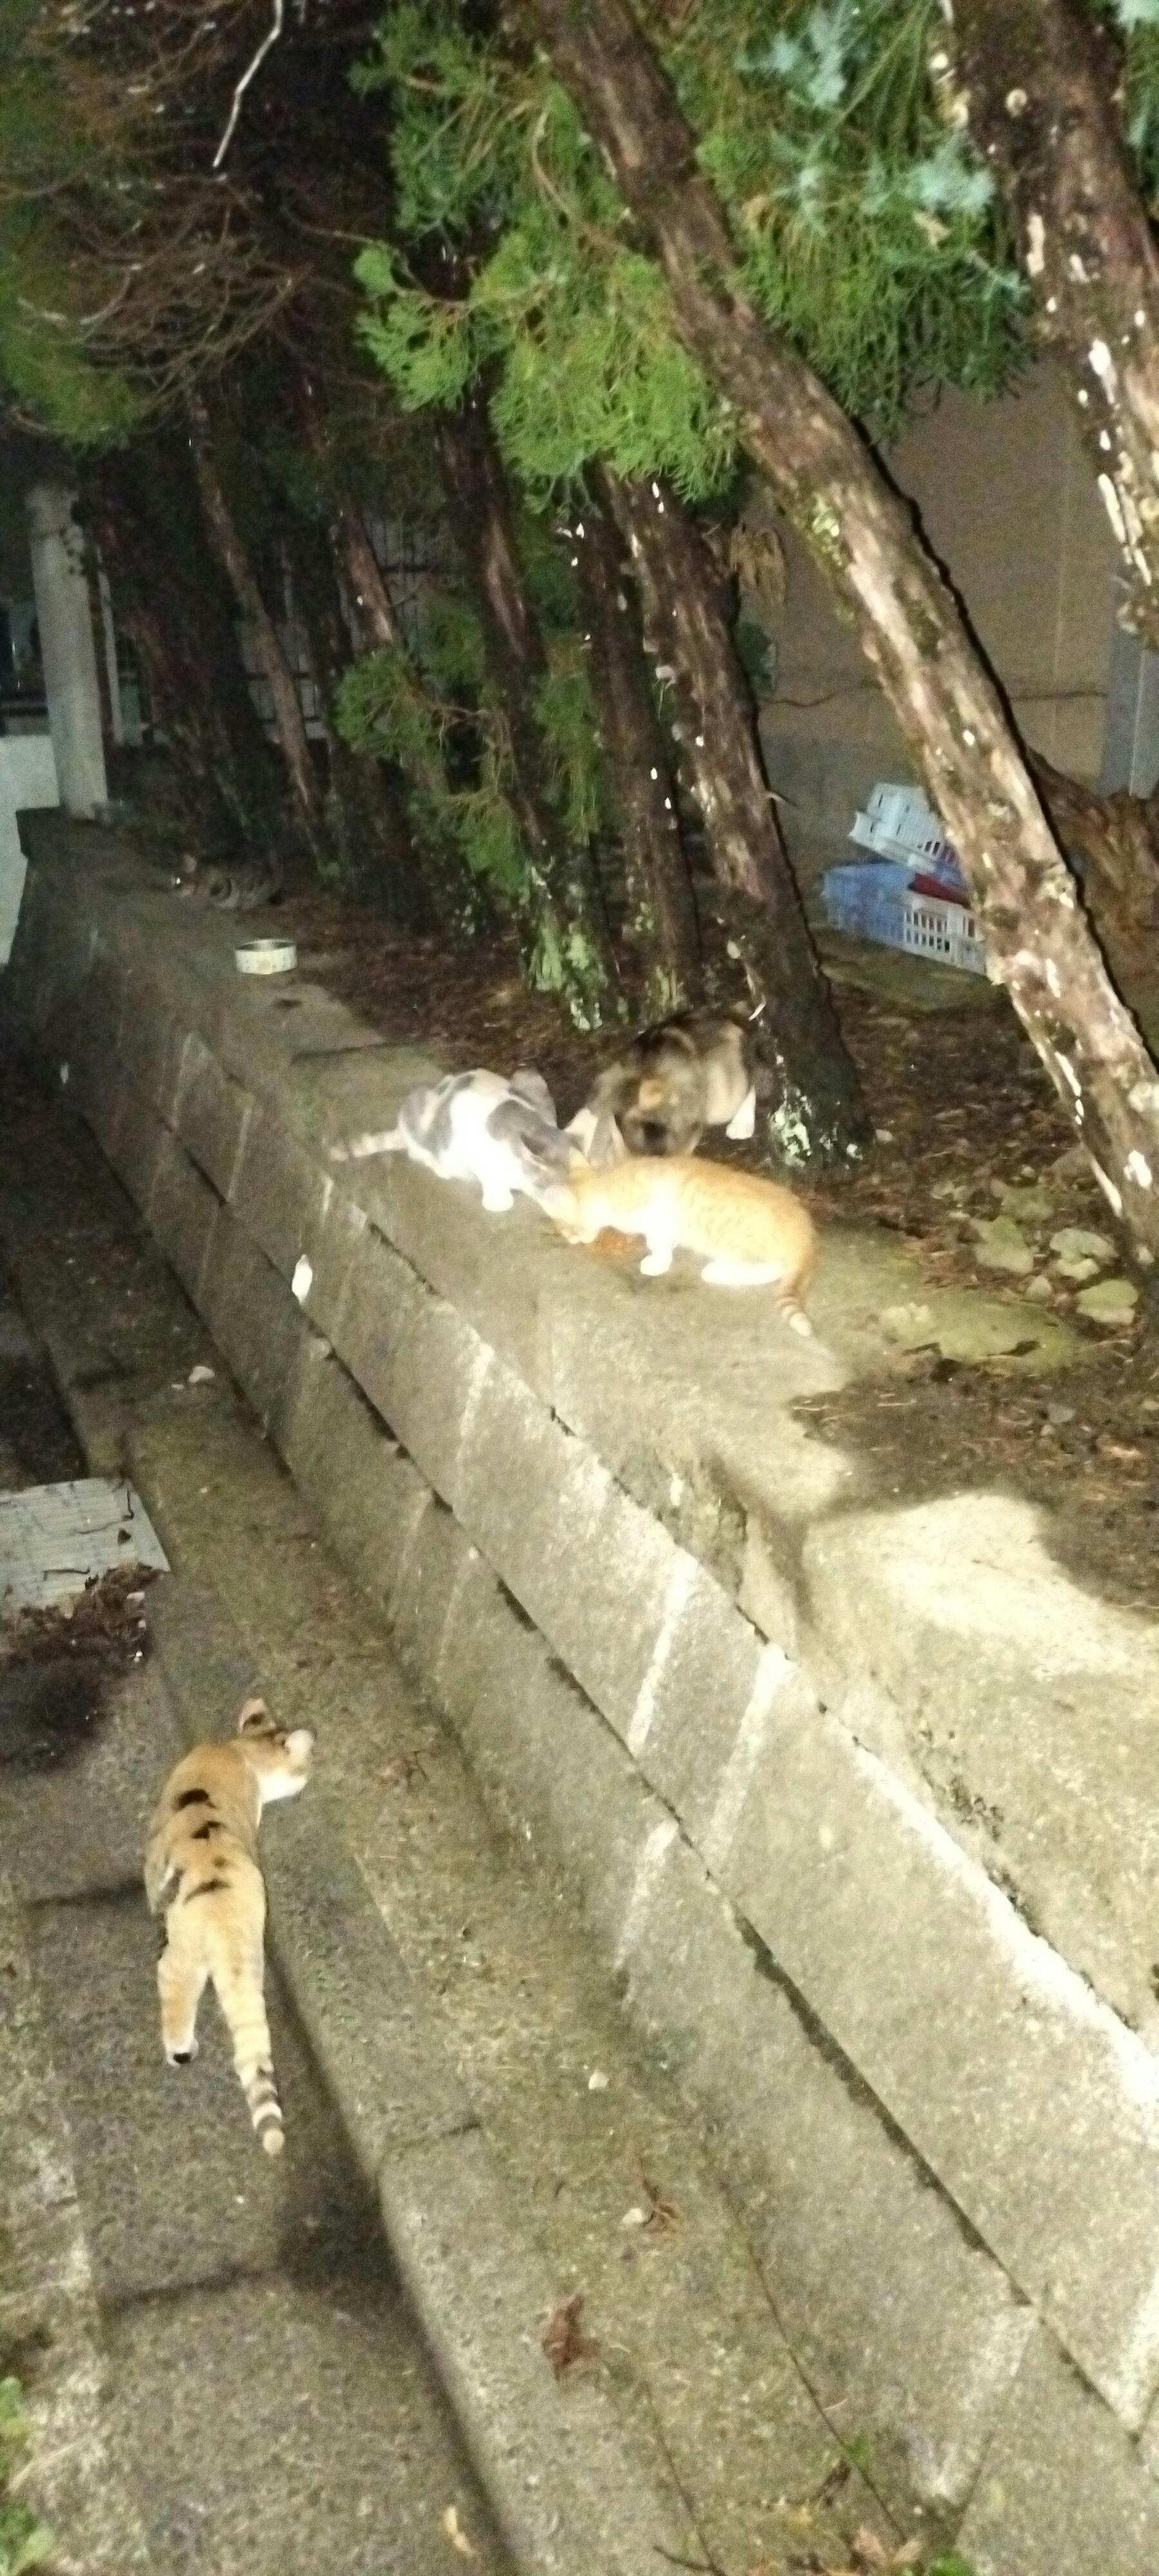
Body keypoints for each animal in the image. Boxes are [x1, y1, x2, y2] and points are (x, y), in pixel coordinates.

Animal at [144, 1697, 313, 2156]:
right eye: (305, 1765)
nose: (311, 1775)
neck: (239, 1750)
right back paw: (181, 2049)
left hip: (199, 1950)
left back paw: (180, 2049)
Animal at [329, 1067, 581, 1213]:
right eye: (544, 1184)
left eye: (567, 1178)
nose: (561, 1194)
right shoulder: (463, 1115)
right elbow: (487, 1172)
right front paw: (498, 1198)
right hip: (418, 1102)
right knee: (416, 1147)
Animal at [534, 1153, 816, 1333]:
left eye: (564, 1230)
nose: (570, 1240)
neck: (609, 1185)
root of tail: (806, 1232)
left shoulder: (658, 1217)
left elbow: (658, 1243)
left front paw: (656, 1263)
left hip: (735, 1244)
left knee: (772, 1268)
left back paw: (716, 1270)